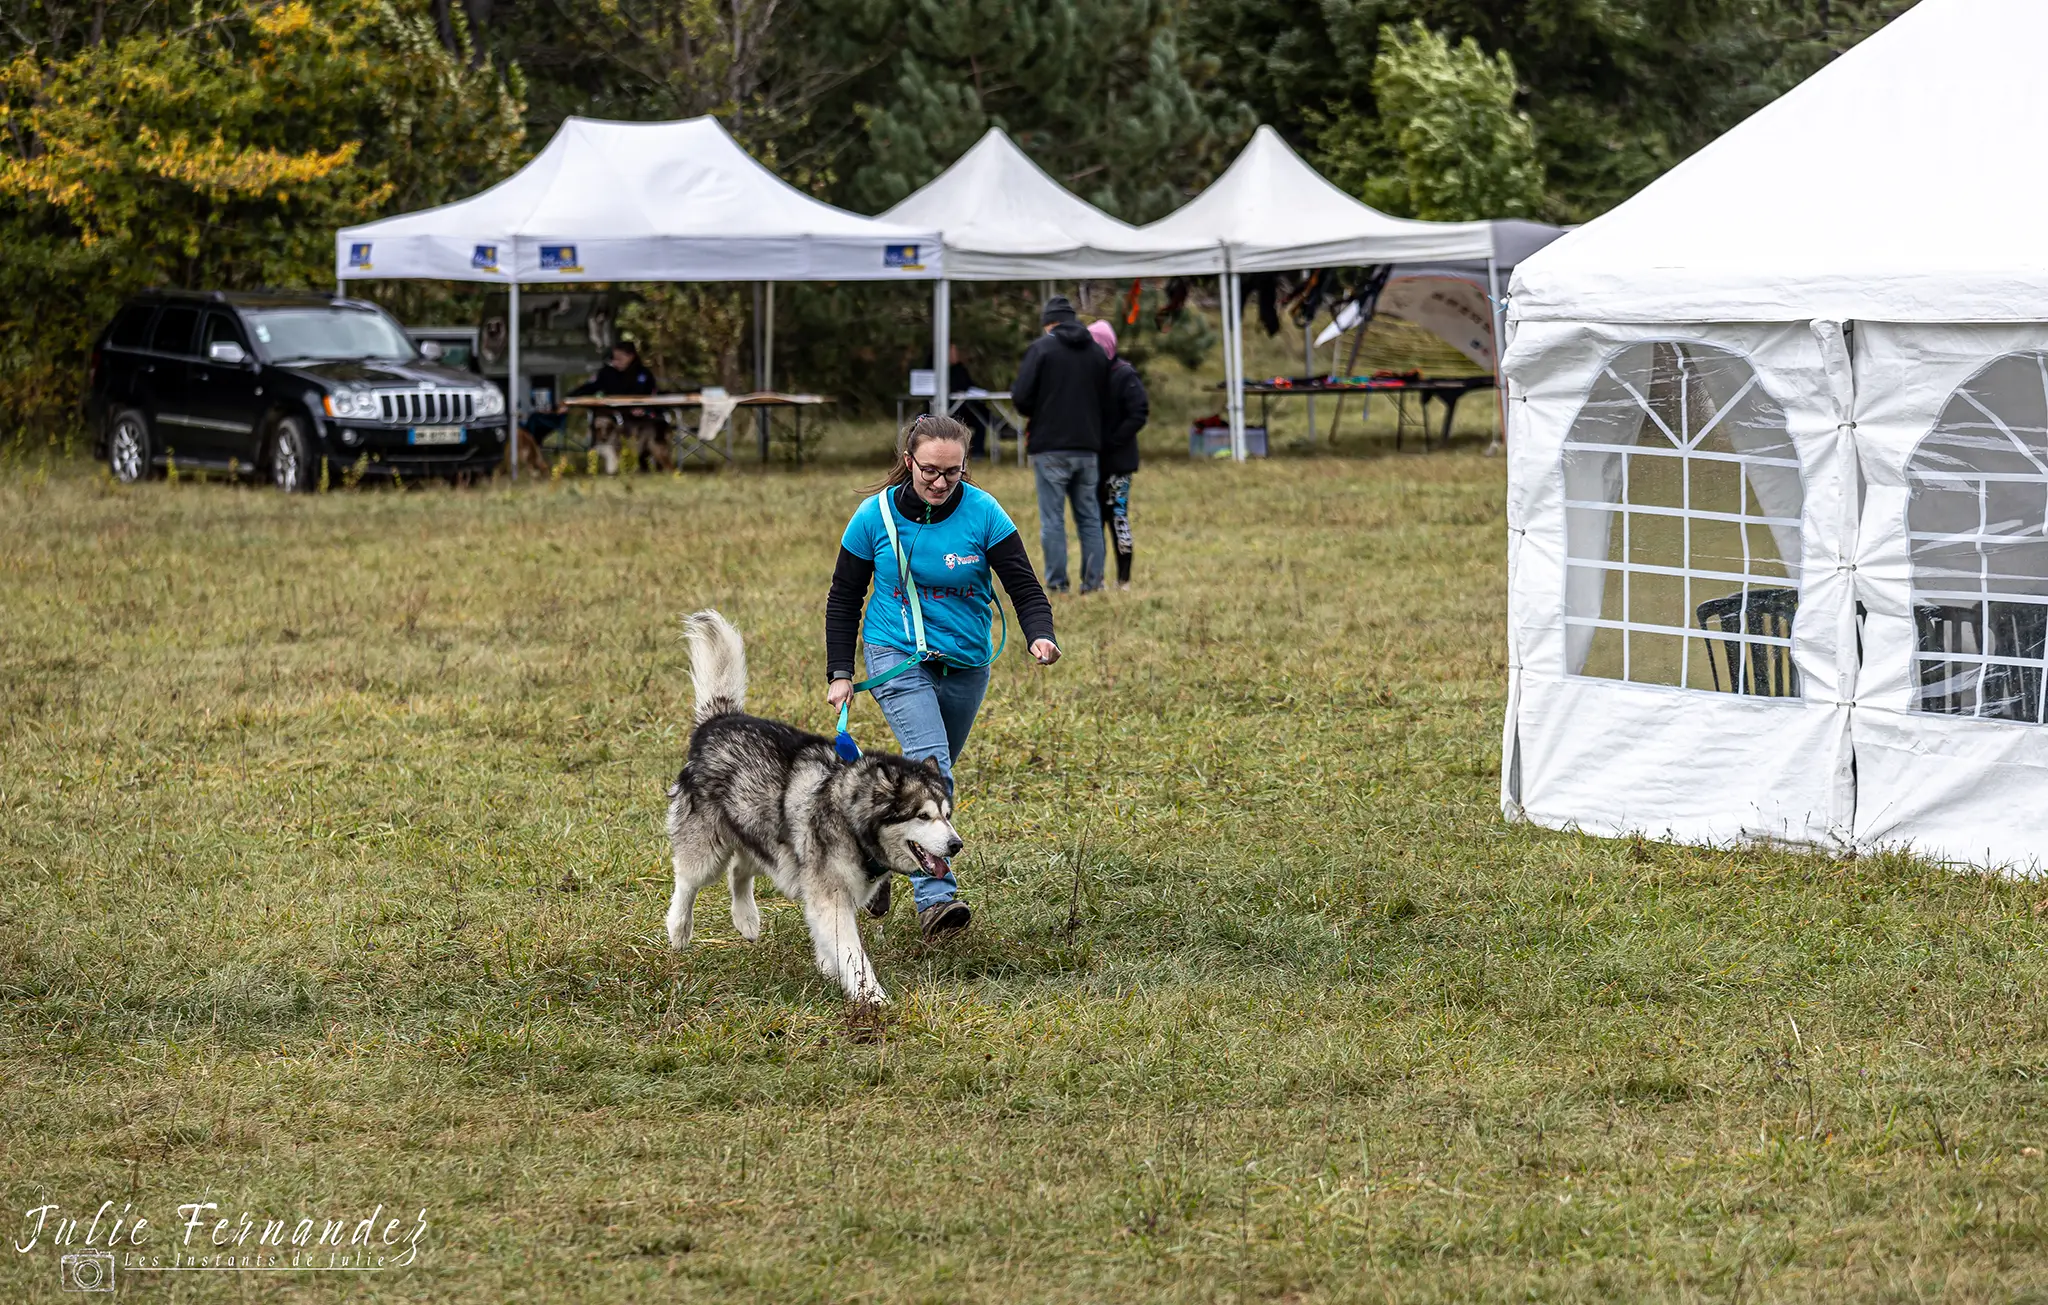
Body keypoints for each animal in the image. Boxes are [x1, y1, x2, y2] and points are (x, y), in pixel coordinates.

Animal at [667, 606, 962, 1003]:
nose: (956, 845)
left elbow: (834, 946)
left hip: (769, 838)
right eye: (923, 816)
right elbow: (853, 954)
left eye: (946, 816)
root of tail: (719, 719)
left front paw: (829, 968)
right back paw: (679, 929)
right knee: (688, 879)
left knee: (740, 869)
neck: (850, 819)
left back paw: (746, 919)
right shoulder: (831, 898)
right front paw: (873, 998)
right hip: (708, 849)